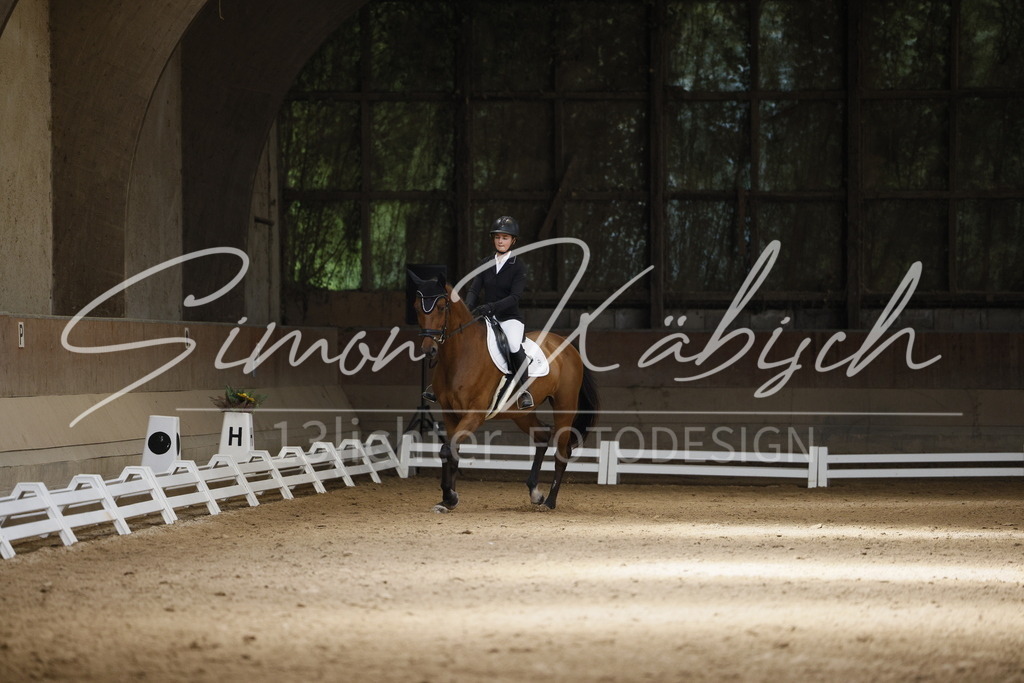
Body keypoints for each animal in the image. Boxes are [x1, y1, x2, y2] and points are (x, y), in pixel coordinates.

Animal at [408, 270, 599, 512]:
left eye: (442, 307)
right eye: (416, 307)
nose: (429, 349)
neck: (460, 356)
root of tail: (568, 346)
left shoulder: (474, 414)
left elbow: (446, 449)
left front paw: (450, 496)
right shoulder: (450, 413)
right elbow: (451, 451)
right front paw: (447, 500)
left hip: (565, 406)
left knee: (562, 451)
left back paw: (550, 502)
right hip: (521, 413)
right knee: (542, 436)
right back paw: (535, 493)